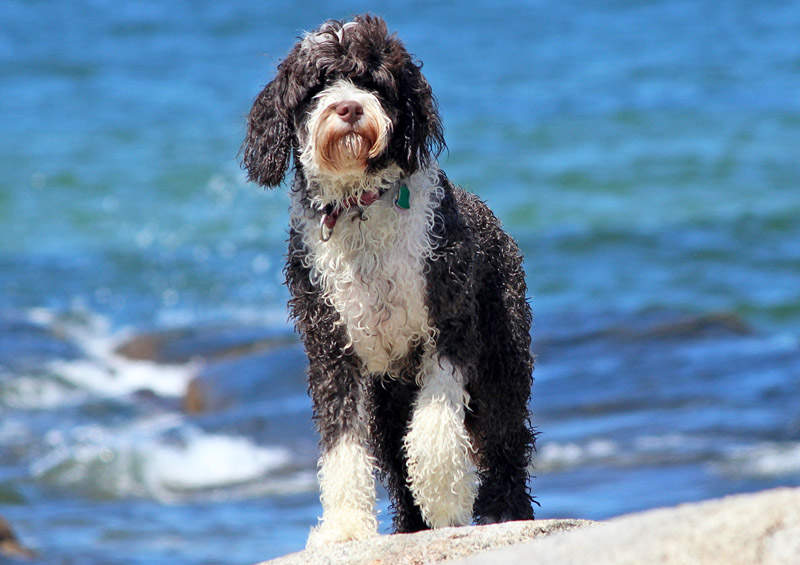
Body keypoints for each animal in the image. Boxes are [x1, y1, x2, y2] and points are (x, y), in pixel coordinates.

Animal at [241, 14, 536, 548]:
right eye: (318, 83)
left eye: (373, 80)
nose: (349, 107)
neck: (360, 206)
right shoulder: (333, 351)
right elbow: (343, 444)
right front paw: (344, 526)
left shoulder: (448, 328)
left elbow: (436, 426)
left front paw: (445, 500)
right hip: (387, 399)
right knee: (397, 466)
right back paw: (410, 525)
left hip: (502, 355)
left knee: (505, 439)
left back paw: (505, 508)